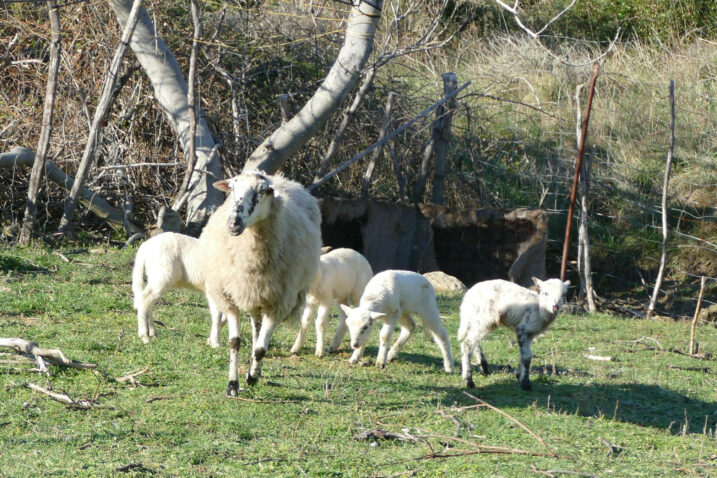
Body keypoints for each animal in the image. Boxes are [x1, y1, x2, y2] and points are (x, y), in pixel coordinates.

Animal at [201, 171, 324, 396]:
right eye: (232, 188)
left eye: (262, 192)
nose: (233, 223)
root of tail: (282, 179)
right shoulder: (230, 296)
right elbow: (235, 342)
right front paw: (232, 385)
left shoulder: (278, 303)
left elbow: (260, 348)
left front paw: (251, 377)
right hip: (253, 295)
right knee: (256, 329)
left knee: (259, 338)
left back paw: (255, 370)